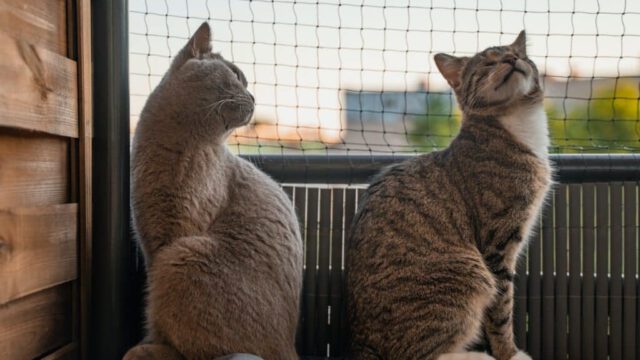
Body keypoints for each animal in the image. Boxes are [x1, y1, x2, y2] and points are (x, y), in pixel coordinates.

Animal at [125, 23, 304, 360]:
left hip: (181, 255)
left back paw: (146, 350)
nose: (253, 96)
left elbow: (154, 310)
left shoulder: (172, 237)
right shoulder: (151, 238)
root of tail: (289, 348)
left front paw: (149, 341)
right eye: (235, 74)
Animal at [344, 31, 552, 360]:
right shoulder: (497, 246)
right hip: (471, 274)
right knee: (424, 355)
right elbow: (501, 312)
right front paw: (509, 353)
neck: (515, 123)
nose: (511, 58)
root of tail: (360, 345)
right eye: (488, 62)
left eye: (519, 55)